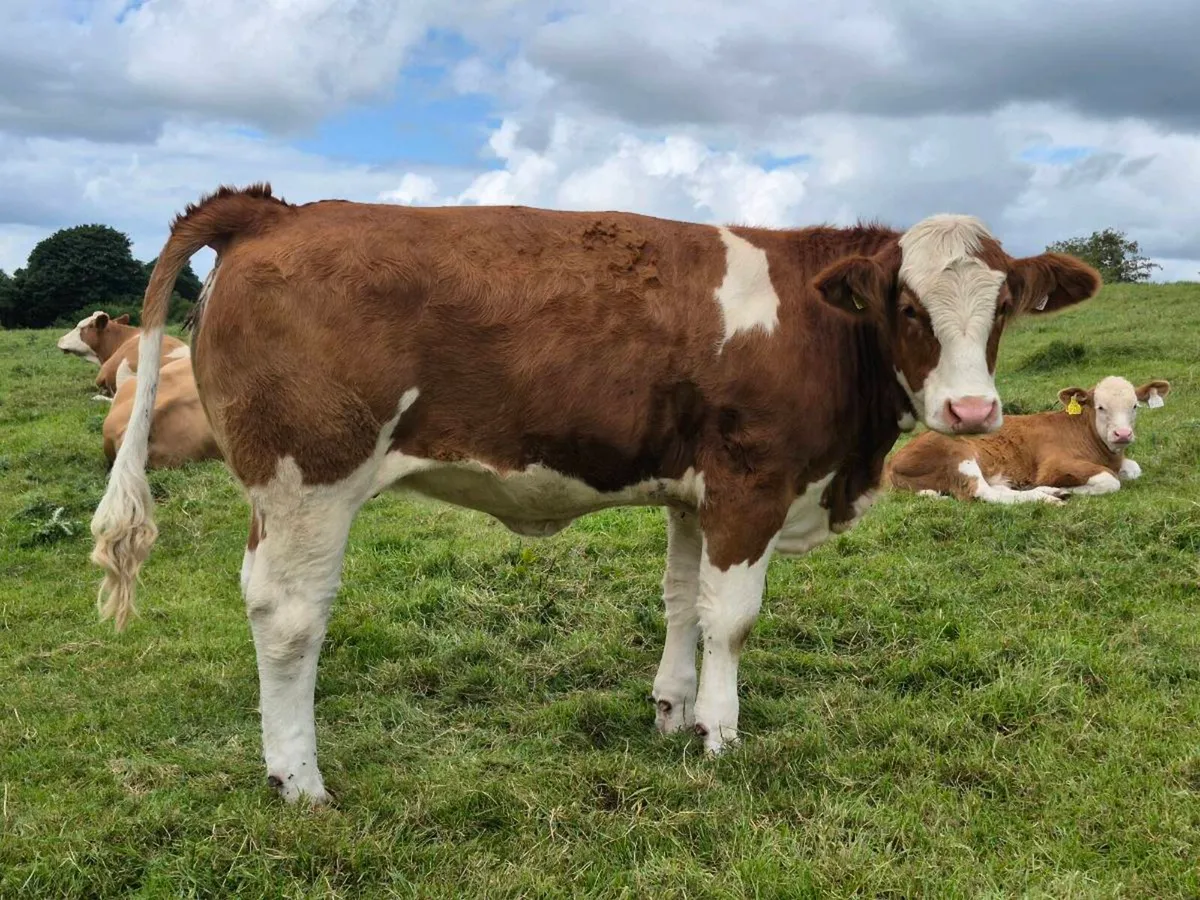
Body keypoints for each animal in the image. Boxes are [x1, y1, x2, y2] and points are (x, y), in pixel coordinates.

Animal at [89, 183, 1101, 804]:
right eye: (907, 306)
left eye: (1004, 309)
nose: (971, 410)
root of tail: (272, 211)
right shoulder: (752, 484)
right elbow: (734, 619)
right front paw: (721, 736)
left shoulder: (696, 492)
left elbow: (684, 604)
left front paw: (672, 714)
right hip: (311, 478)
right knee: (289, 617)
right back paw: (299, 781)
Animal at [885, 375, 1171, 503]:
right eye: (1100, 407)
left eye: (1135, 406)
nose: (1122, 434)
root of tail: (891, 463)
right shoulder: (1053, 465)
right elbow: (1110, 481)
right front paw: (1070, 489)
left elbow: (1133, 469)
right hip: (956, 453)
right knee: (984, 493)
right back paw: (1048, 497)